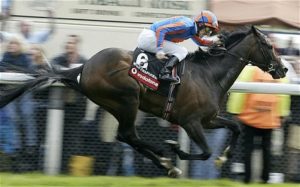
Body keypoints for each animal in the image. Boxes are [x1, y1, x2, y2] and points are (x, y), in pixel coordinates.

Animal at [0, 25, 286, 177]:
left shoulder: (209, 119)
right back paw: (165, 157)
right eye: (269, 46)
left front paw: (223, 159)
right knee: (129, 135)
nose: (283, 69)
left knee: (126, 136)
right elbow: (204, 151)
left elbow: (235, 127)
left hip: (116, 104)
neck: (209, 74)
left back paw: (166, 164)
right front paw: (176, 149)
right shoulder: (191, 121)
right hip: (128, 98)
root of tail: (83, 67)